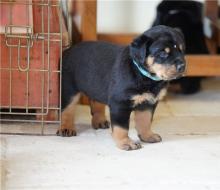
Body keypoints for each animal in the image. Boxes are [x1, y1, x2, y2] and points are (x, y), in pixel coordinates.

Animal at [56, 25, 186, 151]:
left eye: (182, 51)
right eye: (163, 53)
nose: (182, 66)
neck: (143, 74)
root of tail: (67, 50)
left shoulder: (148, 103)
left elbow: (145, 121)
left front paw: (147, 136)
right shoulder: (120, 103)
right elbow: (121, 127)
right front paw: (125, 143)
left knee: (96, 102)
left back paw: (99, 121)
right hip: (69, 89)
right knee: (67, 109)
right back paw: (66, 128)